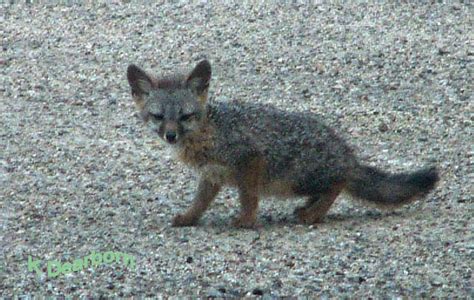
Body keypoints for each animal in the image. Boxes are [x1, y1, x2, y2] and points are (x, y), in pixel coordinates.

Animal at [127, 59, 440, 229]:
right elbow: (200, 202)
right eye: (158, 117)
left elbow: (248, 196)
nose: (170, 136)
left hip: (295, 178)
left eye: (185, 116)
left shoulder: (250, 159)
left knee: (337, 184)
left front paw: (247, 220)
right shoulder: (212, 174)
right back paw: (309, 208)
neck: (210, 131)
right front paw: (189, 218)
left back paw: (313, 213)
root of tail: (347, 154)